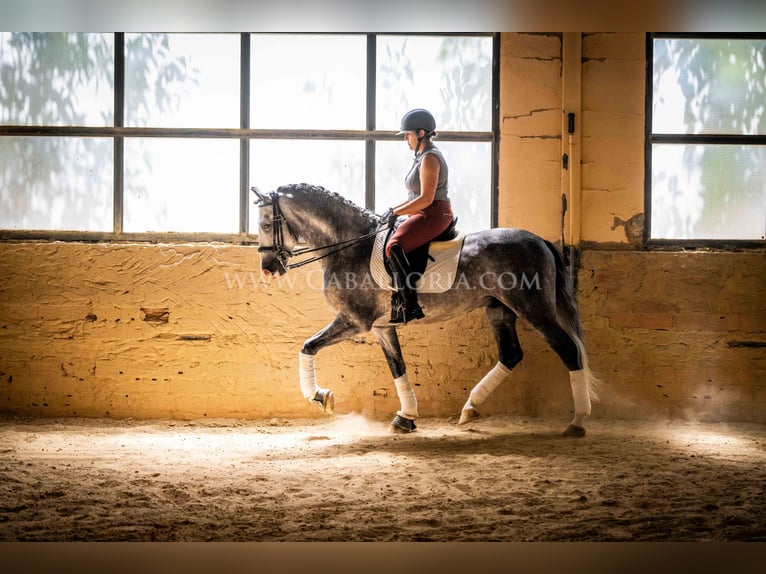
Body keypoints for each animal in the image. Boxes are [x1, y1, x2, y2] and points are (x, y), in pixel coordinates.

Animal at [252, 183, 600, 436]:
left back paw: (578, 421)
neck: (350, 244)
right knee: (512, 354)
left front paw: (321, 397)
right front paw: (406, 417)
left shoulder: (354, 321)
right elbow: (398, 368)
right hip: (499, 310)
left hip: (533, 308)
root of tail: (540, 240)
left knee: (569, 350)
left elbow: (308, 346)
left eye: (267, 223)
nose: (268, 268)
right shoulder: (381, 327)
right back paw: (469, 408)